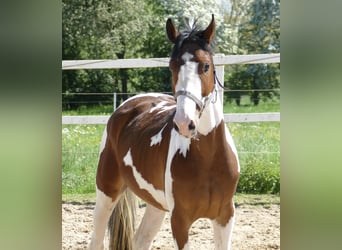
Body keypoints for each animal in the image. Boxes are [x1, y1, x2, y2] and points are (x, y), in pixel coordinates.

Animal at [89, 14, 242, 249]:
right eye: (171, 66)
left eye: (206, 66)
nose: (184, 123)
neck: (208, 159)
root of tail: (128, 105)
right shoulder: (180, 220)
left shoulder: (225, 216)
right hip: (106, 192)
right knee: (96, 239)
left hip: (155, 205)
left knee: (140, 239)